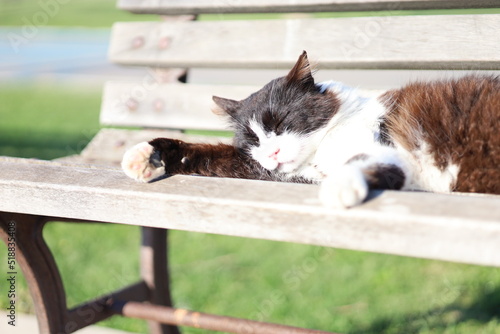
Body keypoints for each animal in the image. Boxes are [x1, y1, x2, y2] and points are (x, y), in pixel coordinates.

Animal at [122, 51, 500, 209]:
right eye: (254, 140)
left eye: (281, 123)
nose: (273, 152)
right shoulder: (271, 171)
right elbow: (205, 154)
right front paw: (145, 154)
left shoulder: (385, 151)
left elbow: (358, 163)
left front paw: (338, 191)